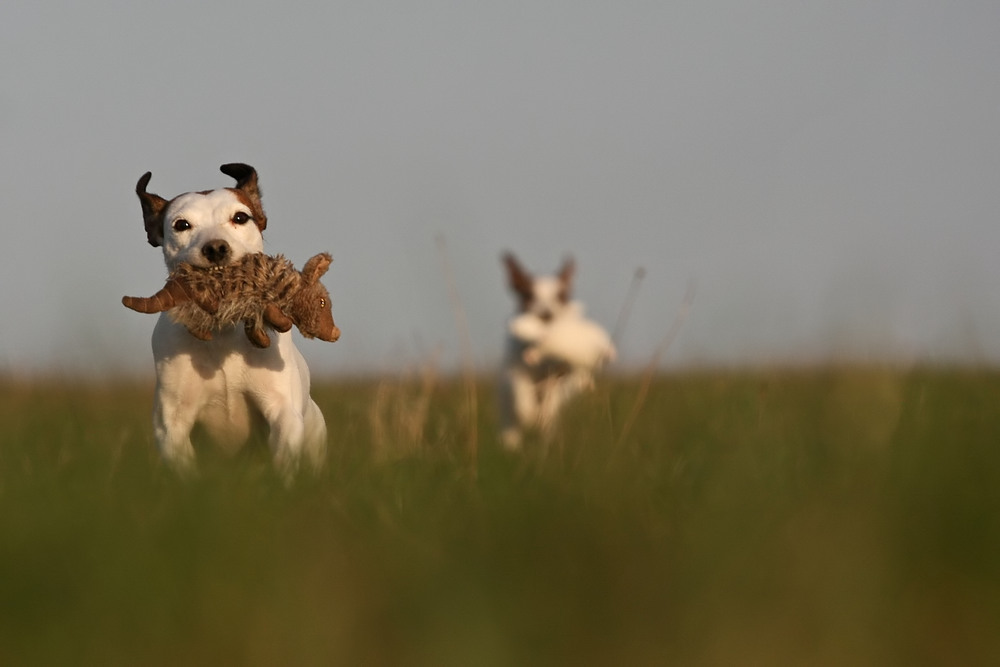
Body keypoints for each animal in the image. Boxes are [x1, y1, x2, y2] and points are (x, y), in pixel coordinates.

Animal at [133, 164, 326, 478]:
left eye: (240, 217)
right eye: (181, 225)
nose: (215, 248)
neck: (224, 333)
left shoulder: (282, 409)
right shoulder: (171, 423)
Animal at [496, 253, 612, 452]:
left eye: (561, 296)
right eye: (528, 295)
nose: (546, 314)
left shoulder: (562, 376)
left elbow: (552, 398)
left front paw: (542, 416)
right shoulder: (515, 370)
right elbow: (521, 395)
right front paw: (527, 414)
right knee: (511, 419)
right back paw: (512, 442)